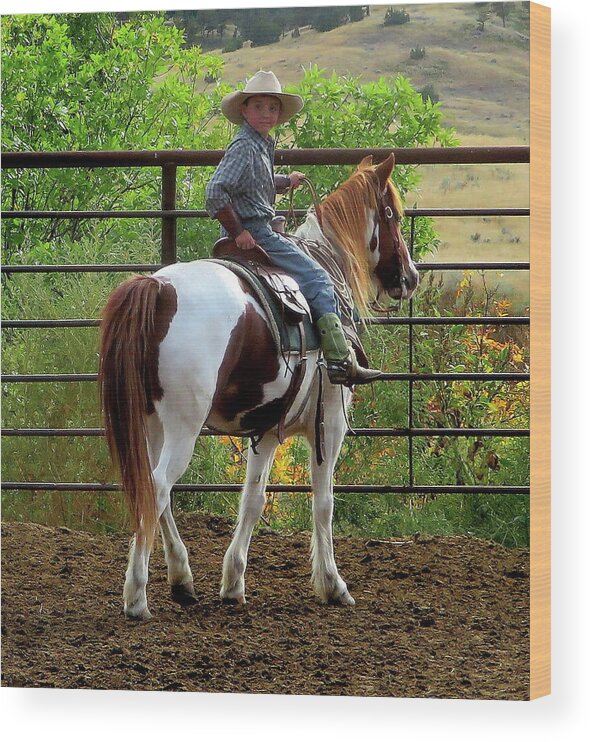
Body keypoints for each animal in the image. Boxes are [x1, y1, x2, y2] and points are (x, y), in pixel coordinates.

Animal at [99, 154, 418, 620]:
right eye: (391, 214)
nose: (410, 277)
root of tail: (158, 288)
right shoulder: (330, 422)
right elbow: (323, 502)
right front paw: (332, 584)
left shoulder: (267, 428)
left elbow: (253, 499)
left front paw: (233, 583)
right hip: (183, 426)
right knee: (157, 488)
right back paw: (137, 596)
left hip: (152, 421)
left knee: (153, 489)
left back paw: (181, 578)